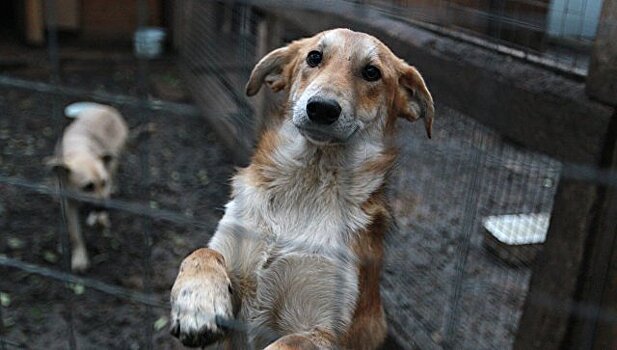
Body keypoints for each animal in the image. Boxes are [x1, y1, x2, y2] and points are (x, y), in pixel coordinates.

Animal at [46, 102, 128, 272]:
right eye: (88, 187)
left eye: (103, 182)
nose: (105, 208)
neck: (78, 151)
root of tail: (108, 109)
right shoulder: (68, 203)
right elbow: (75, 233)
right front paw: (79, 257)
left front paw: (100, 218)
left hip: (114, 158)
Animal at [168, 28, 434, 348]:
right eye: (314, 57)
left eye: (372, 72)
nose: (322, 108)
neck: (307, 185)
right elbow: (202, 253)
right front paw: (198, 302)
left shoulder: (325, 332)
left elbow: (286, 342)